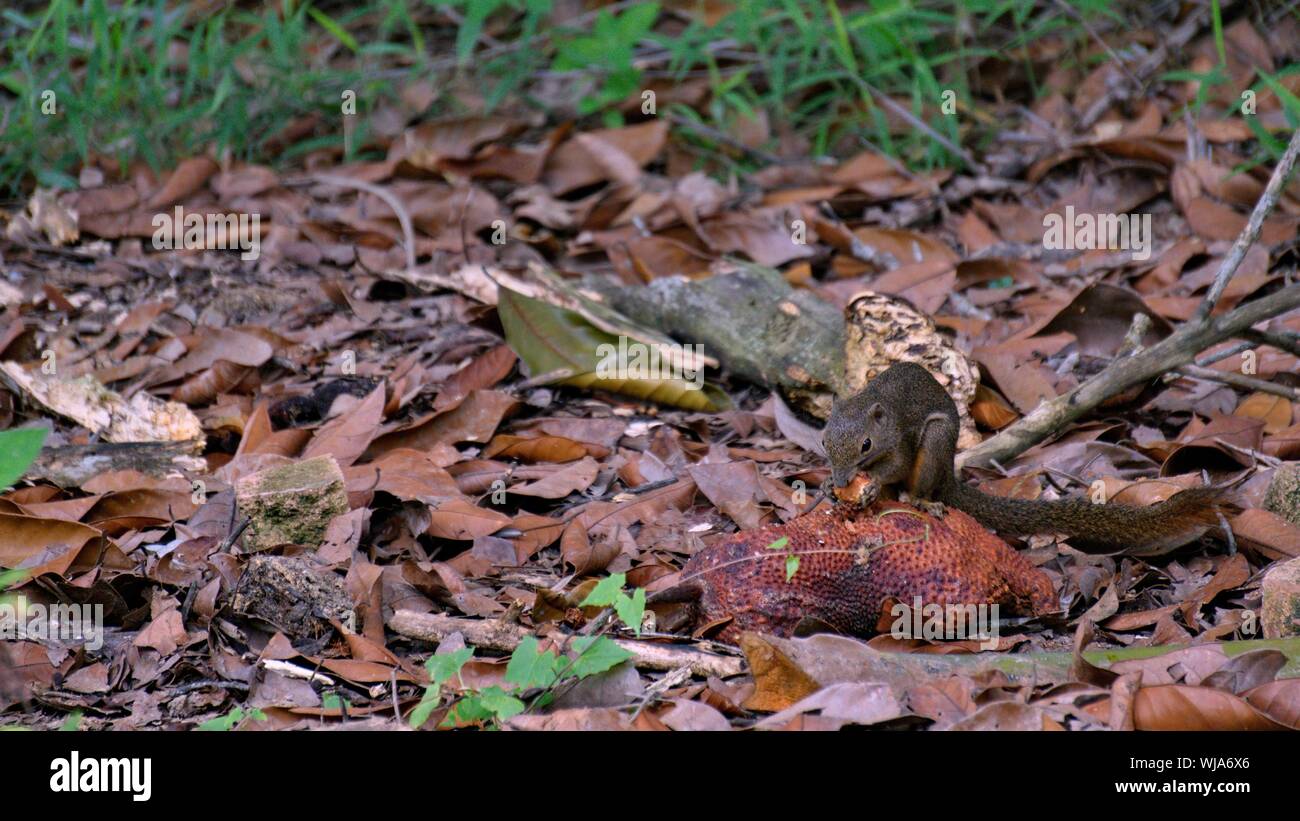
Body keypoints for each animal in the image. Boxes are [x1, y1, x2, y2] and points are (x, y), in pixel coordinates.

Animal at [821, 361, 1235, 553]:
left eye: (866, 445)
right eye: (824, 441)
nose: (842, 480)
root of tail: (948, 478)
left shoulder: (901, 444)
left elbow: (894, 467)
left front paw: (872, 483)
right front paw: (829, 484)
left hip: (935, 445)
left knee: (921, 486)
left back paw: (922, 500)